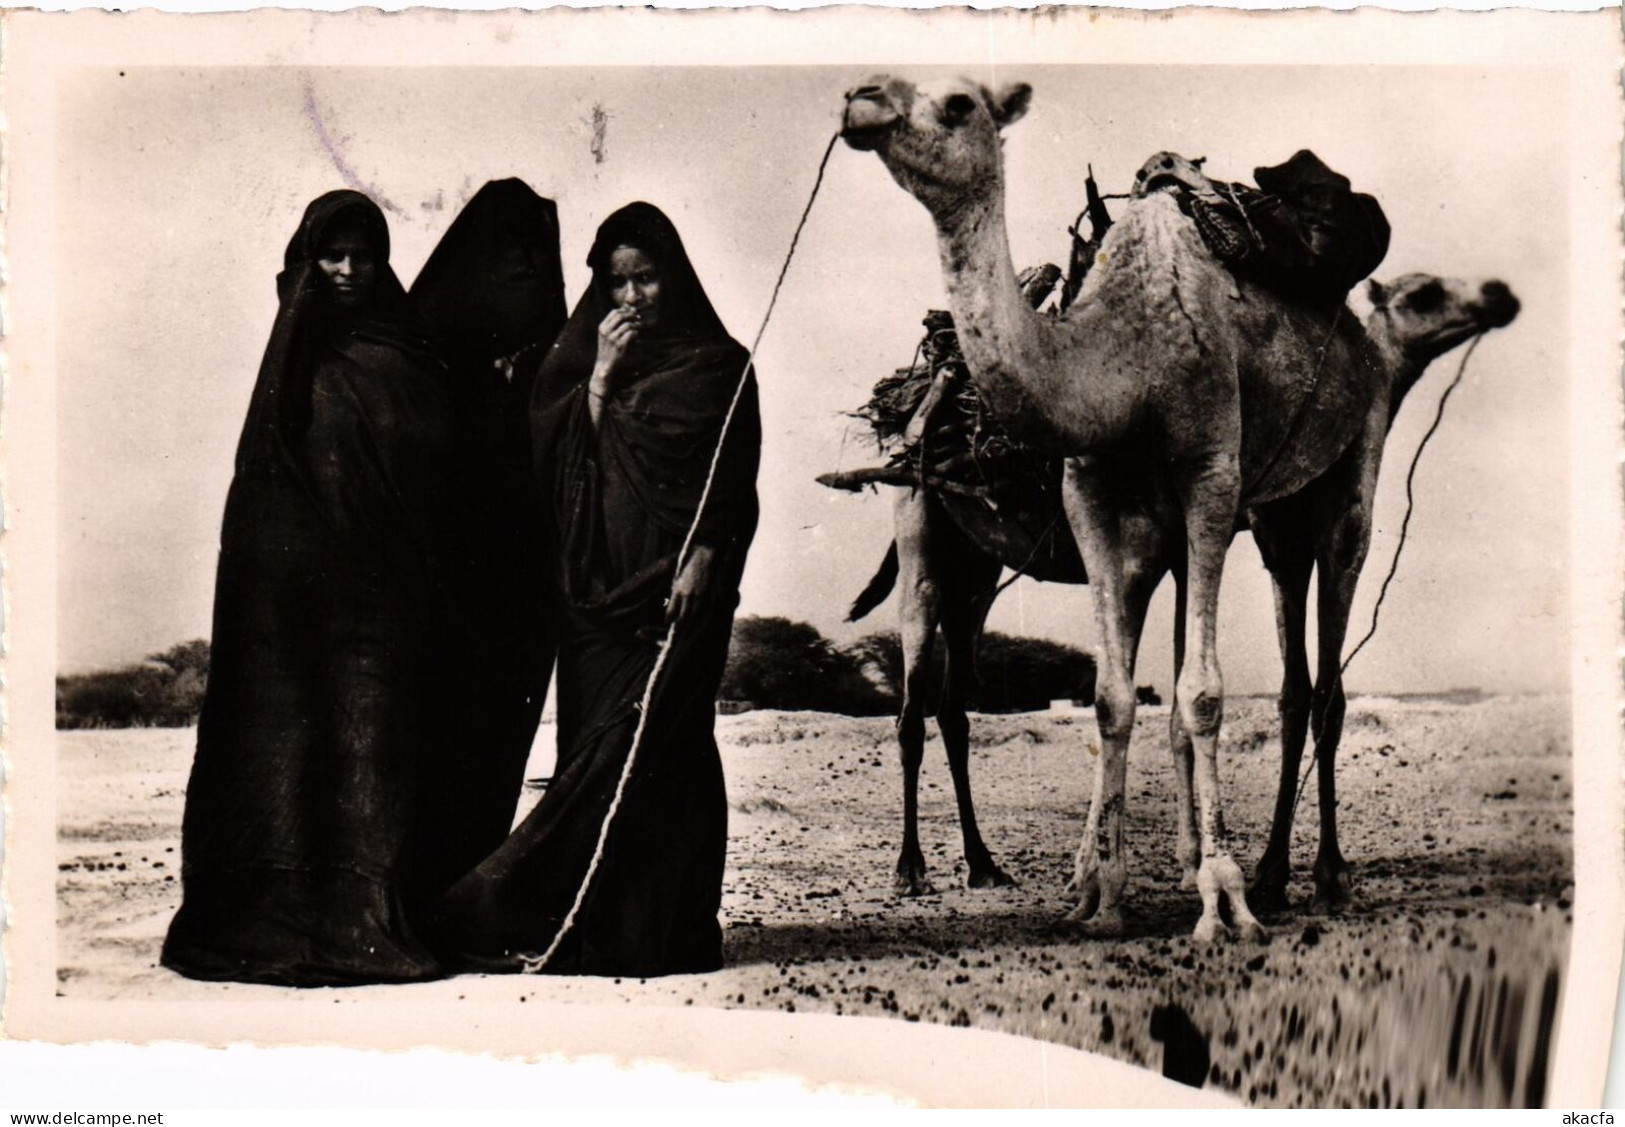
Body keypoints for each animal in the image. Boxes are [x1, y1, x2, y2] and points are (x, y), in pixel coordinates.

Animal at [838, 75, 1410, 941]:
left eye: (959, 103)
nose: (859, 98)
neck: (1124, 354)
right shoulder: (1092, 493)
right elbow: (1112, 694)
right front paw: (1100, 893)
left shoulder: (1208, 480)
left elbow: (1196, 695)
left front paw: (1216, 896)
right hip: (936, 538)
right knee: (925, 699)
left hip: (1351, 464)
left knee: (1326, 667)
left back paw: (1320, 876)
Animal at [838, 276, 1521, 909]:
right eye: (1426, 293)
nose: (1498, 294)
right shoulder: (1258, 538)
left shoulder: (1239, 546)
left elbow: (1240, 702)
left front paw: (1204, 865)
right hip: (922, 532)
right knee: (912, 701)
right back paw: (911, 869)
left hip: (976, 570)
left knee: (954, 704)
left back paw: (983, 865)